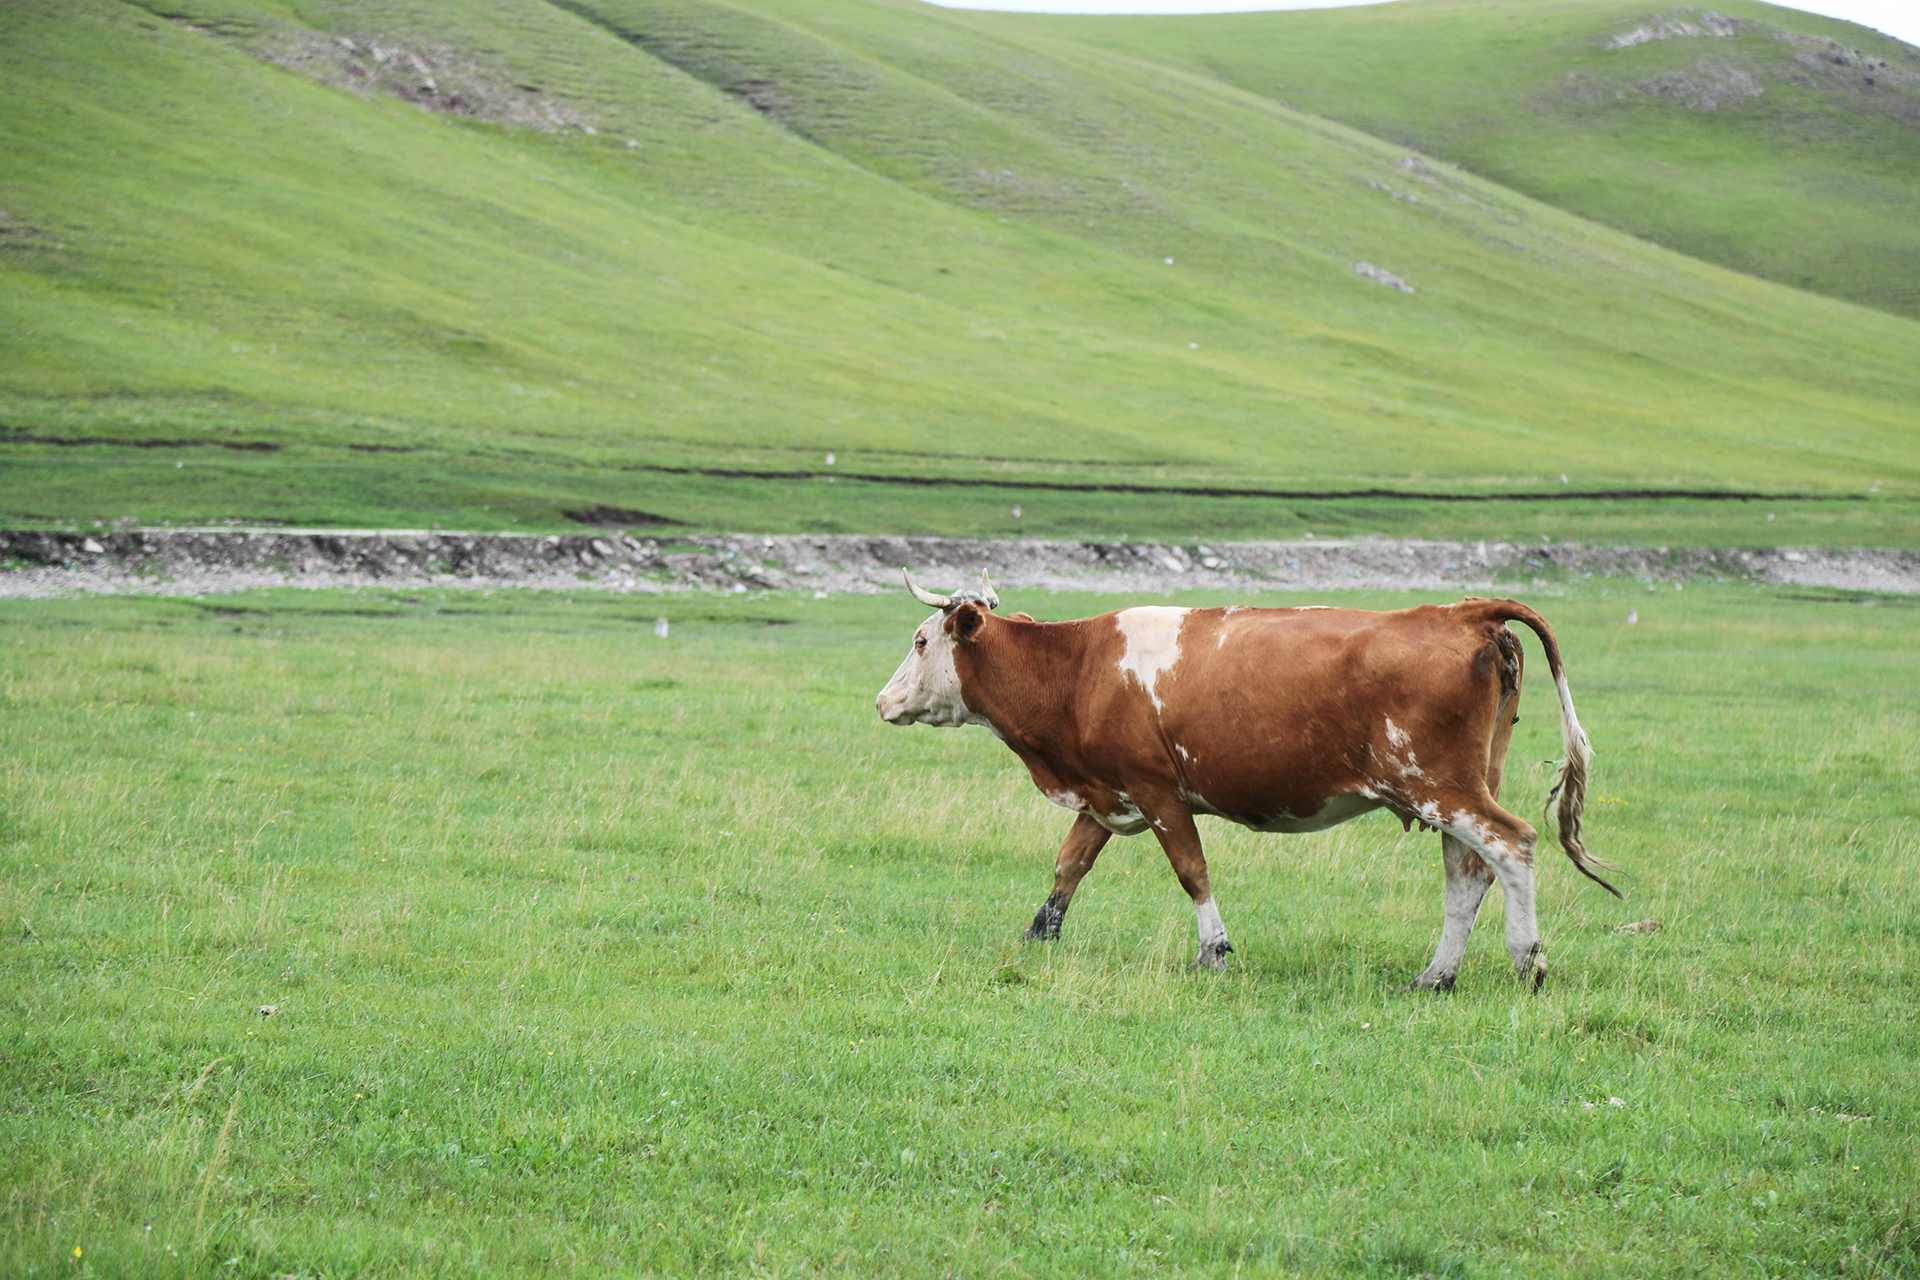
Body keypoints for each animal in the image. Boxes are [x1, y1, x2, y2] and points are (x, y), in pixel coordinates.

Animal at [874, 571, 1620, 991]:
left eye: (919, 640)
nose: (882, 701)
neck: (1080, 665)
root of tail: (1460, 611)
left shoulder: (1157, 791)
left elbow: (1191, 871)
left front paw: (1215, 950)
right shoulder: (1107, 792)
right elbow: (1070, 864)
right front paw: (1038, 935)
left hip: (1442, 787)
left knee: (1513, 845)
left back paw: (1527, 961)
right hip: (1457, 786)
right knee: (1468, 874)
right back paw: (1436, 976)